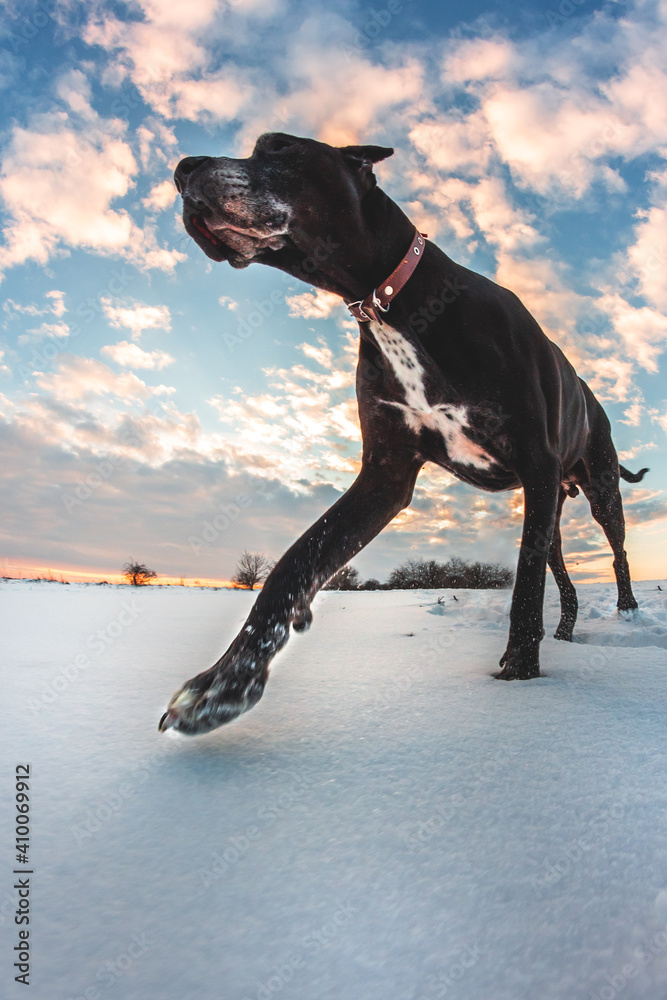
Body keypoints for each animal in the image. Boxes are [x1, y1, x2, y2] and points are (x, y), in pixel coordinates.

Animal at [159, 135, 644, 736]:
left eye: (281, 148)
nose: (183, 169)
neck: (390, 303)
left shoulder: (535, 459)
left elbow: (526, 586)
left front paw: (518, 677)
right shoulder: (385, 477)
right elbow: (294, 564)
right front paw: (225, 683)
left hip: (594, 487)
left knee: (616, 553)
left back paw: (627, 611)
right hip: (551, 505)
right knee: (560, 568)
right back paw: (567, 630)